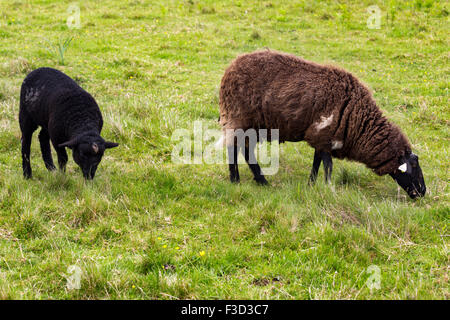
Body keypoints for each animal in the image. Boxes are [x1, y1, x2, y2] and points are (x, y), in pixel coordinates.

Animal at [218, 49, 426, 199]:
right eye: (414, 166)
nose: (423, 192)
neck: (358, 120)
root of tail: (230, 69)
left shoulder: (321, 139)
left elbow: (316, 164)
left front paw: (311, 185)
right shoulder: (324, 137)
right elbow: (328, 167)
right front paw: (328, 188)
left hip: (253, 125)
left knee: (245, 150)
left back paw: (261, 181)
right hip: (239, 118)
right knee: (233, 148)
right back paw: (236, 180)